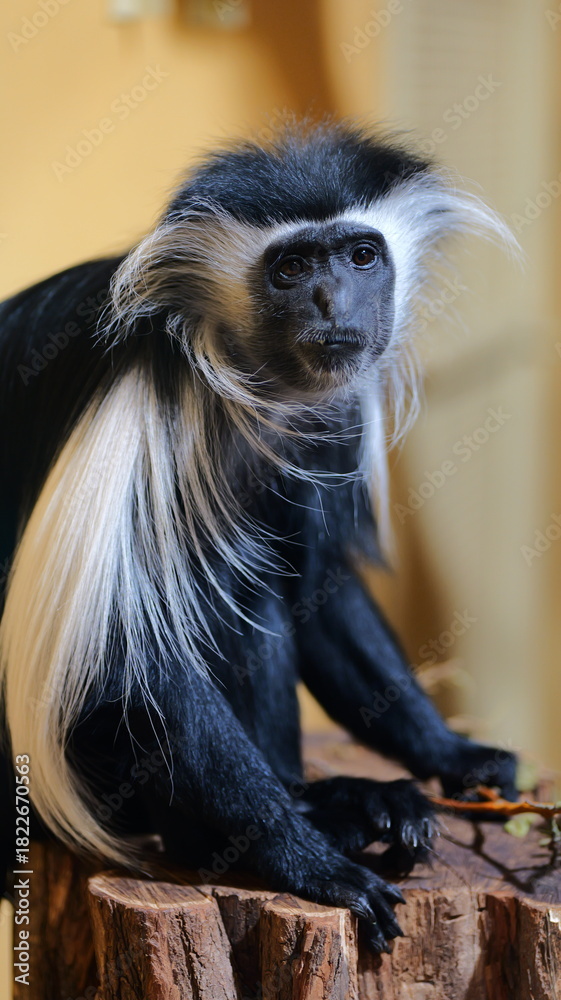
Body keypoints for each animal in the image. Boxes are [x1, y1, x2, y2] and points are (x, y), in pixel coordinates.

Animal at [0, 122, 518, 952]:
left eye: (360, 255)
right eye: (292, 266)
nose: (330, 301)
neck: (247, 378)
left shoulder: (328, 419)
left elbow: (322, 594)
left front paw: (455, 754)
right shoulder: (140, 394)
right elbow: (127, 659)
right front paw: (309, 864)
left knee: (261, 595)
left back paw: (347, 802)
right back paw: (303, 823)